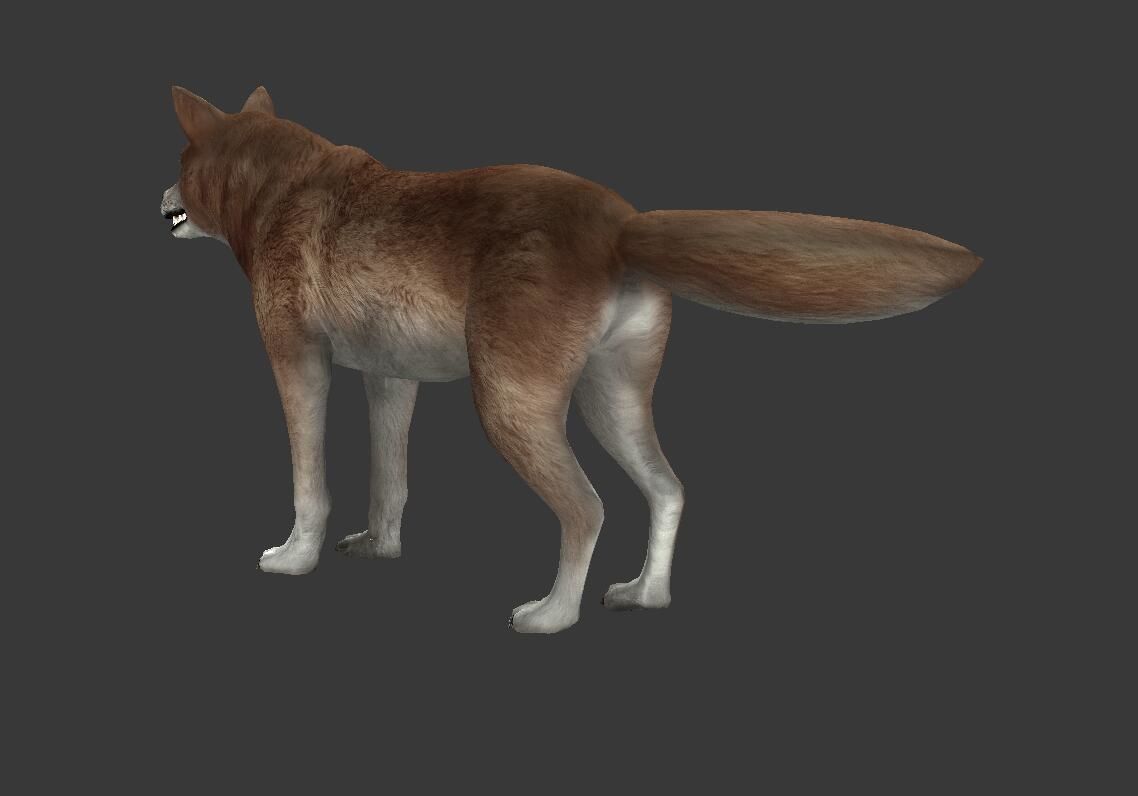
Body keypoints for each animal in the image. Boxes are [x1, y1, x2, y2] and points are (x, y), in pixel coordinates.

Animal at [161, 86, 981, 633]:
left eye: (182, 159)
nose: (160, 200)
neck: (278, 188)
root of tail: (620, 224)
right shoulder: (390, 378)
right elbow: (390, 480)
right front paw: (380, 548)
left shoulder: (297, 359)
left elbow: (310, 482)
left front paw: (294, 558)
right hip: (607, 401)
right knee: (669, 489)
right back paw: (646, 595)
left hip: (508, 405)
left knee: (588, 508)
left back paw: (553, 614)